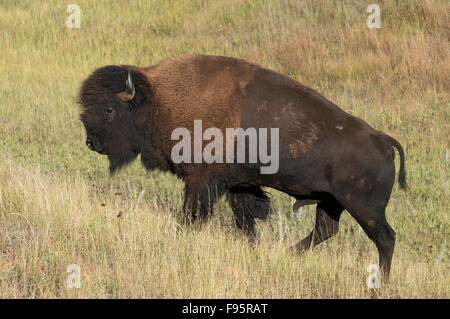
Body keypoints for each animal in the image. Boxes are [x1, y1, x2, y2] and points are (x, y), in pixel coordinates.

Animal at [79, 53, 406, 282]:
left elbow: (193, 215)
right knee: (326, 229)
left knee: (385, 238)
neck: (159, 100)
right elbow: (246, 218)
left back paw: (382, 283)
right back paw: (288, 255)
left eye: (109, 108)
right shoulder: (238, 185)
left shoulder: (202, 182)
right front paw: (253, 248)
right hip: (331, 202)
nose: (91, 142)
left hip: (364, 208)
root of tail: (382, 139)